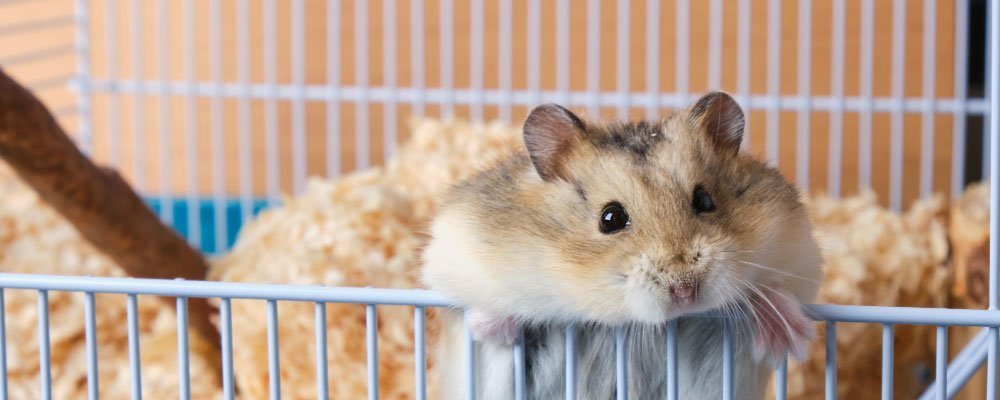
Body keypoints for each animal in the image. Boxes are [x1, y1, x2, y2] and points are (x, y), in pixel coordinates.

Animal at [421, 91, 823, 400]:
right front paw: (493, 321)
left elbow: (779, 292)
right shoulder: (452, 252)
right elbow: (481, 317)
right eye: (610, 218)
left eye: (705, 200)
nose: (684, 290)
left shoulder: (799, 254)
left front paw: (788, 334)